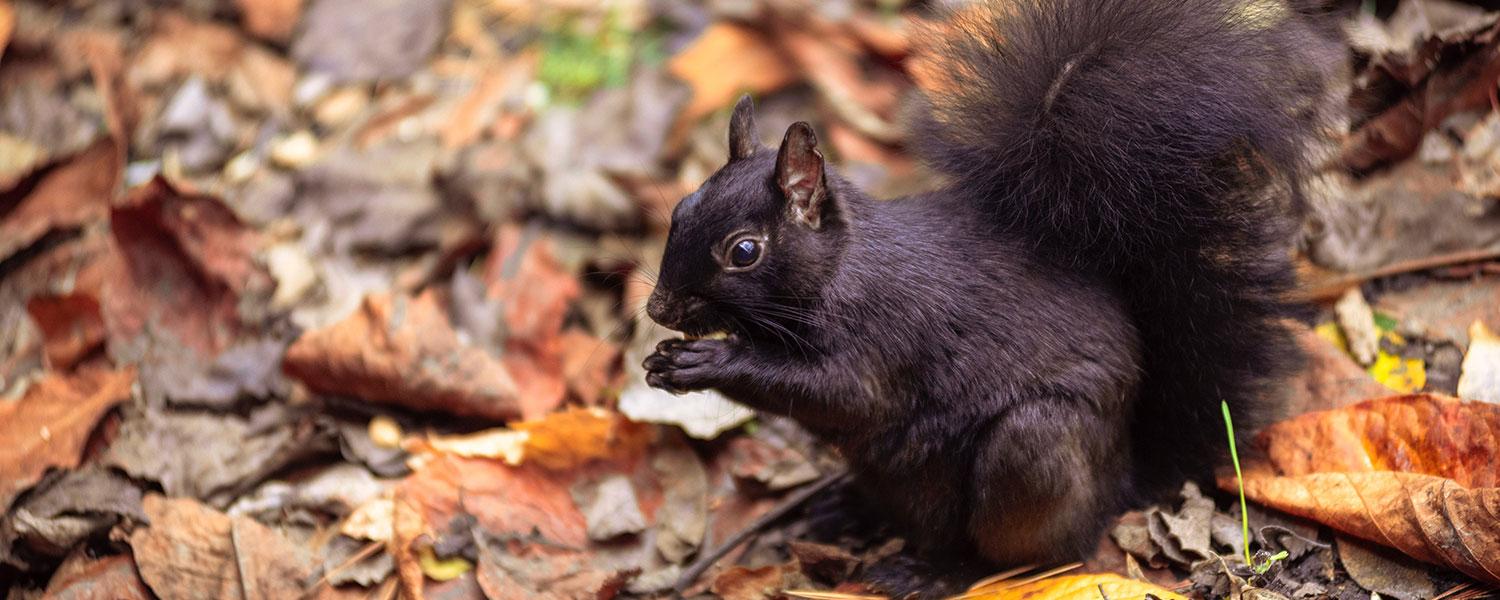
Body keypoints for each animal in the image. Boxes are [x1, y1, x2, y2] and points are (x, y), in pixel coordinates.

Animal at [644, 0, 1332, 590]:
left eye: (744, 251)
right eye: (680, 209)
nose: (658, 311)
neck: (842, 270)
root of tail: (1122, 480)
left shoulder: (886, 337)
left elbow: (839, 393)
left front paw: (707, 361)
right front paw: (663, 361)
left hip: (1032, 450)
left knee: (1032, 554)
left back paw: (936, 573)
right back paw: (847, 510)